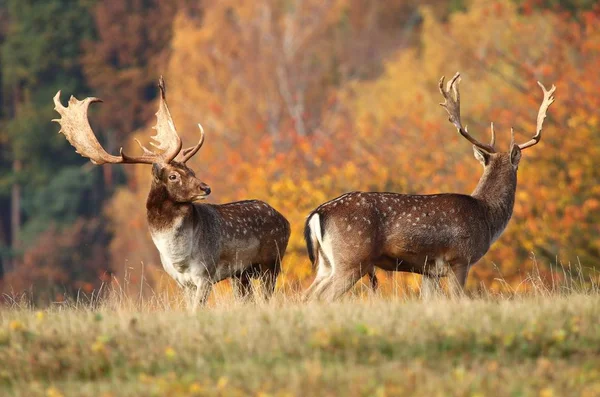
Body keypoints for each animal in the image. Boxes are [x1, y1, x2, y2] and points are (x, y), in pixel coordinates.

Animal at [52, 78, 292, 306]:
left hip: (272, 262)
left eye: (191, 170)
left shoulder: (205, 273)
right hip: (241, 274)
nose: (206, 187)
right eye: (173, 176)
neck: (179, 257)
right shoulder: (182, 282)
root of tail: (285, 220)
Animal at [304, 72, 556, 300]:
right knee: (322, 297)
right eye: (518, 167)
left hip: (327, 264)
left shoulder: (429, 271)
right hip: (352, 258)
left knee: (306, 295)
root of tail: (317, 214)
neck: (486, 216)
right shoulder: (459, 259)